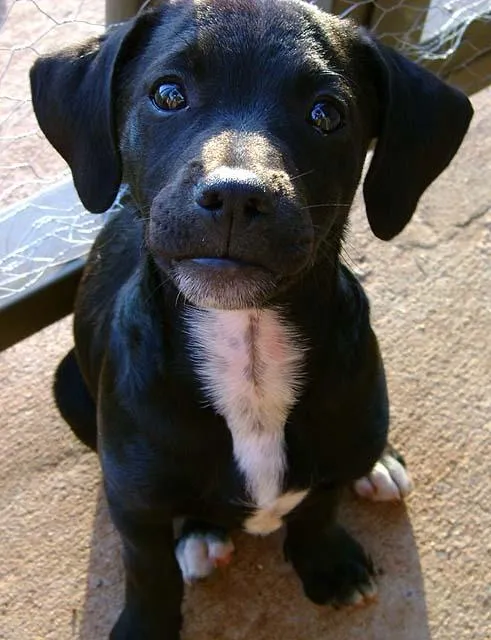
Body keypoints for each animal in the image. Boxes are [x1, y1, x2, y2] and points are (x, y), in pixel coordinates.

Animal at [29, 0, 472, 636]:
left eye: (326, 114)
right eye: (168, 94)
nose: (237, 197)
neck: (250, 349)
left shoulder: (331, 456)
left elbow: (318, 507)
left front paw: (327, 562)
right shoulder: (133, 503)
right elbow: (147, 569)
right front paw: (146, 623)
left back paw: (378, 464)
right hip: (68, 385)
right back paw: (199, 535)